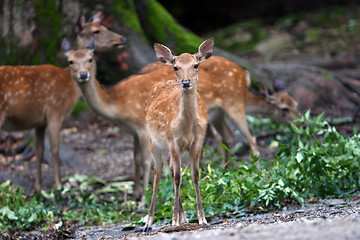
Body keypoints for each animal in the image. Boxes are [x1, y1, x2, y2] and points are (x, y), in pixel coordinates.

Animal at [0, 10, 126, 191]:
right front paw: (59, 185)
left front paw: (38, 187)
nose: (122, 39)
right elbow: (55, 149)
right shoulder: (55, 111)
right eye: (96, 31)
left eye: (104, 26)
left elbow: (39, 152)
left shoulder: (39, 122)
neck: (70, 88)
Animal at [143, 38, 214, 232]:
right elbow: (177, 178)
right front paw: (173, 221)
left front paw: (202, 218)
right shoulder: (173, 140)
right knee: (158, 174)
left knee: (171, 169)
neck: (187, 128)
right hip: (153, 142)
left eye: (196, 64)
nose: (186, 82)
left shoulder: (198, 141)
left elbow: (195, 175)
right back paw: (148, 223)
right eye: (175, 67)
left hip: (169, 150)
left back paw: (184, 218)